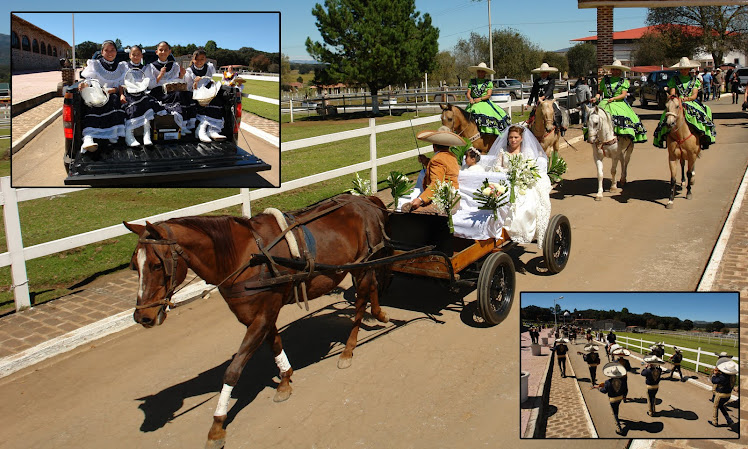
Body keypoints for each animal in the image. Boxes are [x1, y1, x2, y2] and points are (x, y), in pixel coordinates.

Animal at [122, 194, 392, 448]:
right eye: (135, 266)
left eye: (157, 265)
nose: (142, 316)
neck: (246, 257)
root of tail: (365, 199)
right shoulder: (261, 314)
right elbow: (275, 345)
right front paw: (285, 379)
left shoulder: (261, 317)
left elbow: (232, 371)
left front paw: (217, 426)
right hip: (363, 265)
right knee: (372, 286)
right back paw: (379, 312)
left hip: (363, 262)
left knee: (361, 300)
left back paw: (348, 349)